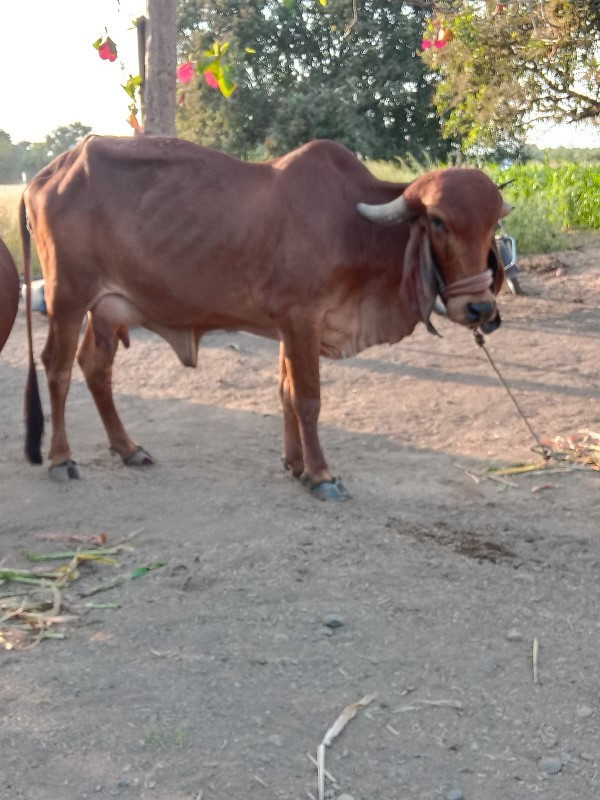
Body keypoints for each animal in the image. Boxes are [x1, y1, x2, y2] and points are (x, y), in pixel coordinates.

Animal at [21, 138, 506, 500]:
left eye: (493, 224)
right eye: (438, 222)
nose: (480, 309)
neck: (355, 227)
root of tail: (48, 174)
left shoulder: (287, 327)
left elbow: (286, 392)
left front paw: (296, 464)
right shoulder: (301, 319)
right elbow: (308, 398)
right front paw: (321, 475)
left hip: (108, 309)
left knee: (95, 368)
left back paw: (127, 449)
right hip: (68, 298)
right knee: (58, 368)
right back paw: (62, 459)